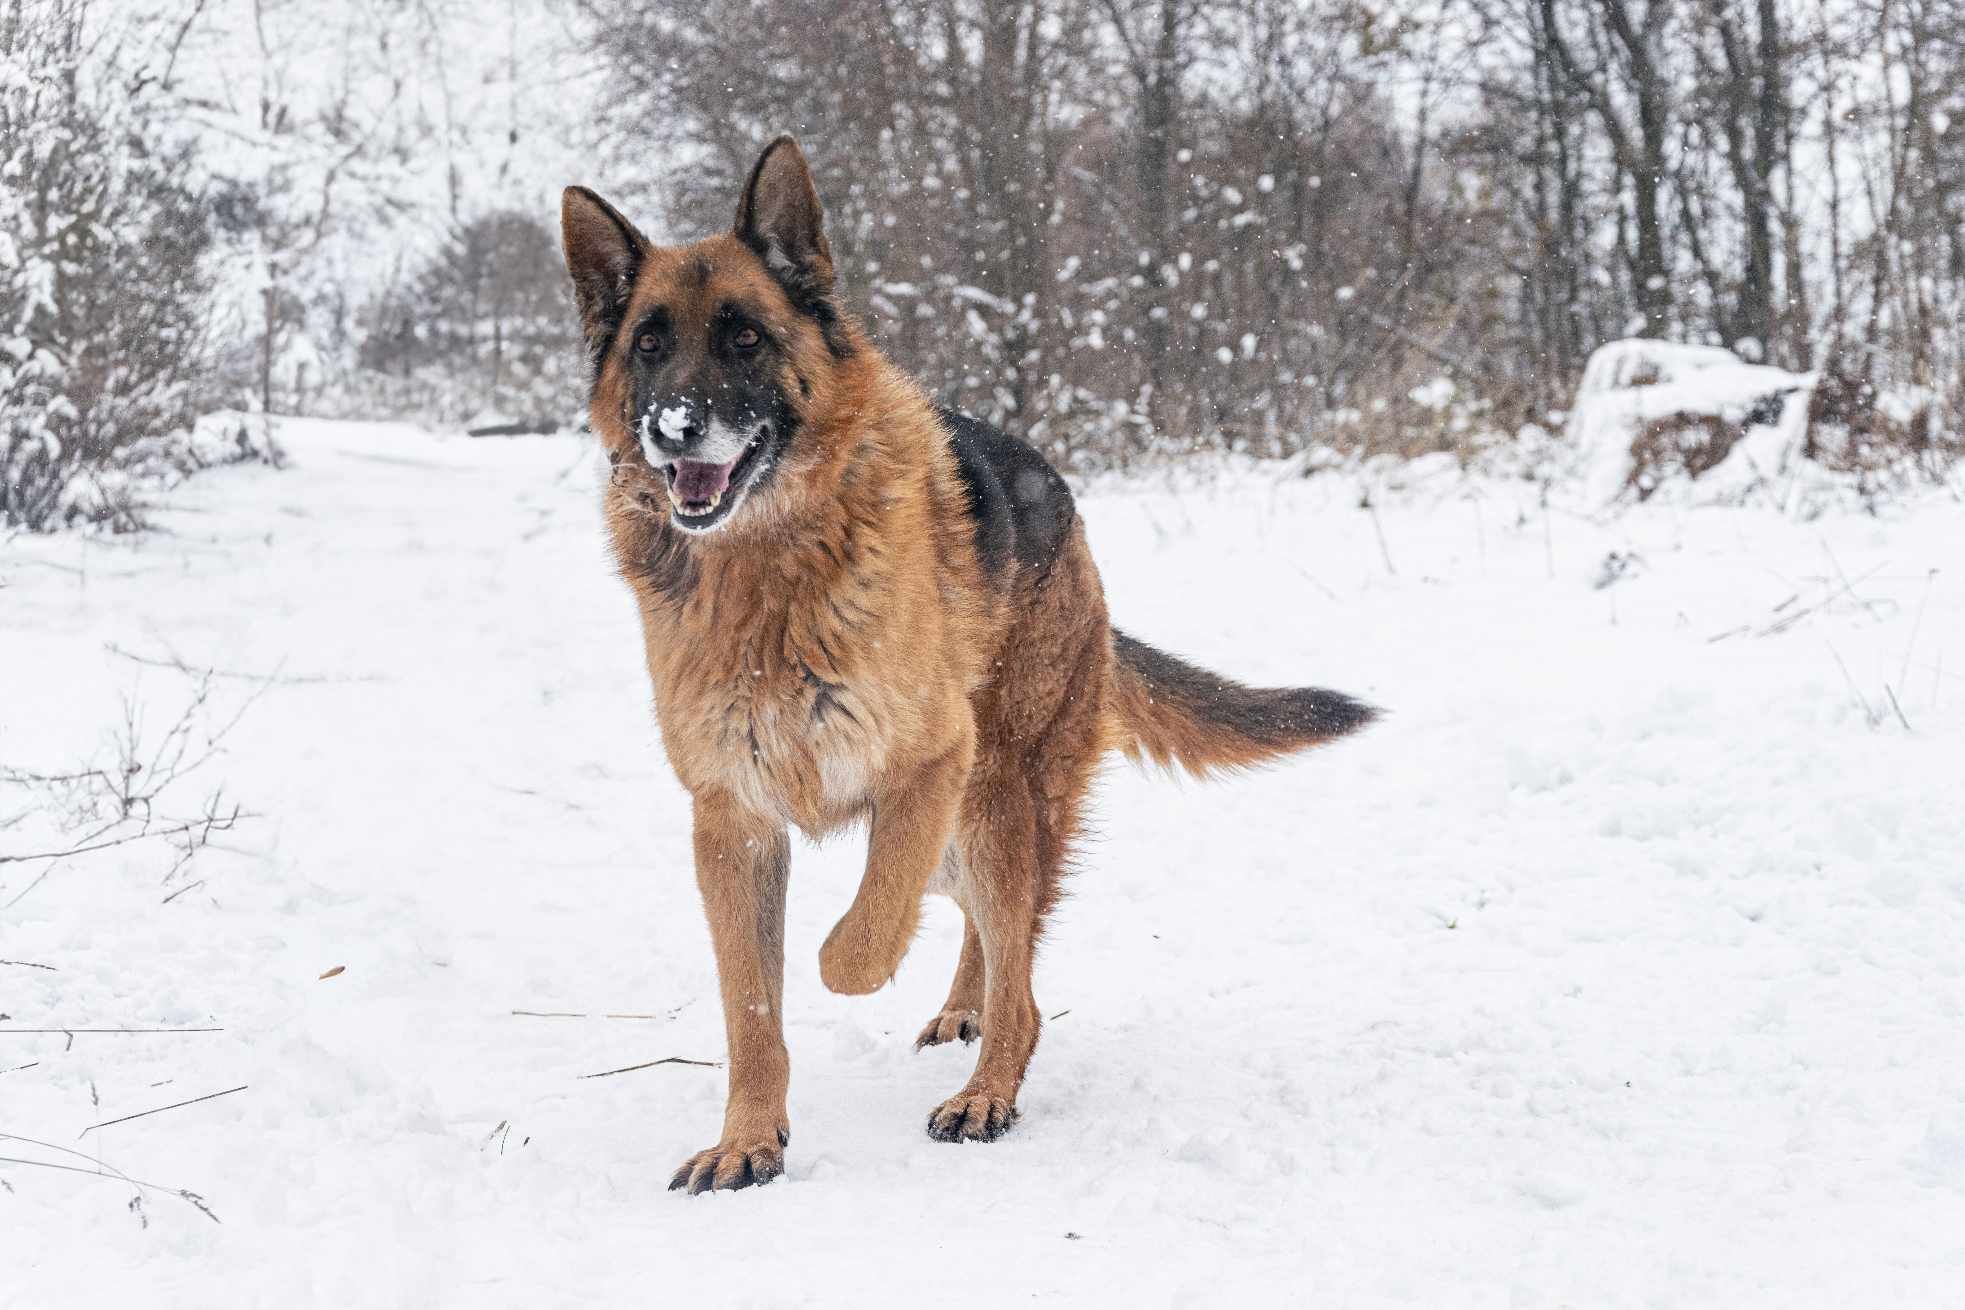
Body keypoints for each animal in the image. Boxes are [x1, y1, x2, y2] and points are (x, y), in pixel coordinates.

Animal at [561, 138, 1375, 1194]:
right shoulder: (731, 824)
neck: (769, 575)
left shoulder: (928, 767)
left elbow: (858, 941)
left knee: (1016, 969)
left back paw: (986, 1088)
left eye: (744, 338)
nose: (672, 427)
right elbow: (752, 1011)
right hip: (979, 815)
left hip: (994, 792)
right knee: (993, 931)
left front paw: (843, 966)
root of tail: (1064, 510)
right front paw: (748, 1139)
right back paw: (965, 1010)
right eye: (650, 345)